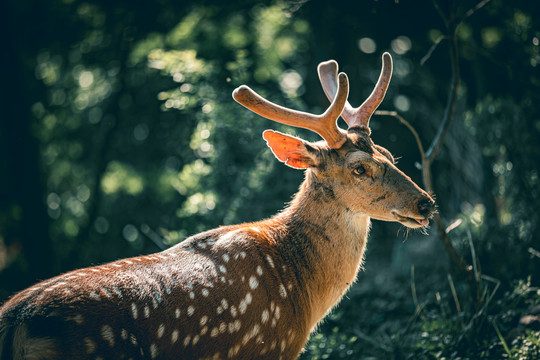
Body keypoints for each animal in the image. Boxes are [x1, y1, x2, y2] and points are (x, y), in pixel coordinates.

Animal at [0, 52, 432, 360]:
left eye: (390, 155)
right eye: (360, 168)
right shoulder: (268, 346)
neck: (301, 288)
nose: (426, 204)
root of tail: (16, 325)